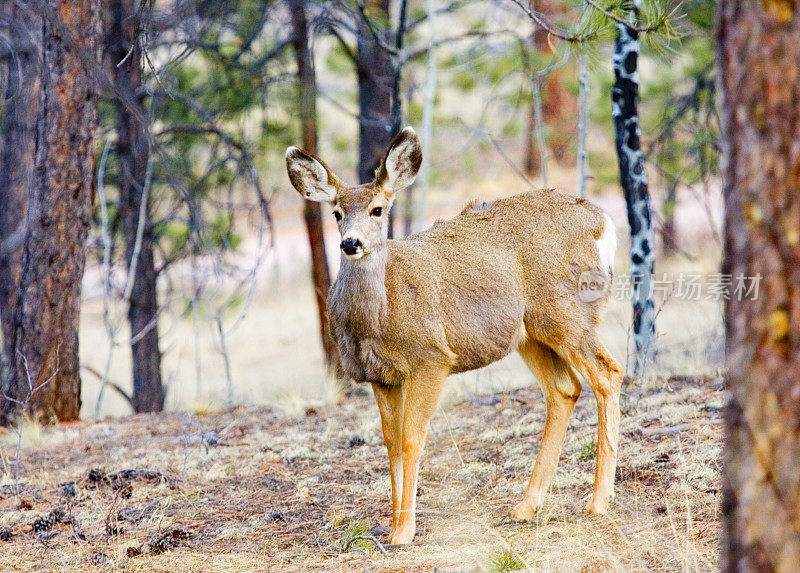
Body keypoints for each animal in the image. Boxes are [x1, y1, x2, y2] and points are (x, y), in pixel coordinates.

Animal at [288, 126, 624, 544]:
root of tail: (601, 223)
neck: (378, 318)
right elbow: (391, 444)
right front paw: (394, 526)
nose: (350, 243)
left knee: (608, 374)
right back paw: (525, 507)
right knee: (565, 390)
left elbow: (412, 439)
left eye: (377, 209)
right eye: (336, 213)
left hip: (568, 314)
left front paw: (404, 532)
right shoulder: (380, 377)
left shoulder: (430, 359)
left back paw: (598, 501)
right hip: (530, 334)